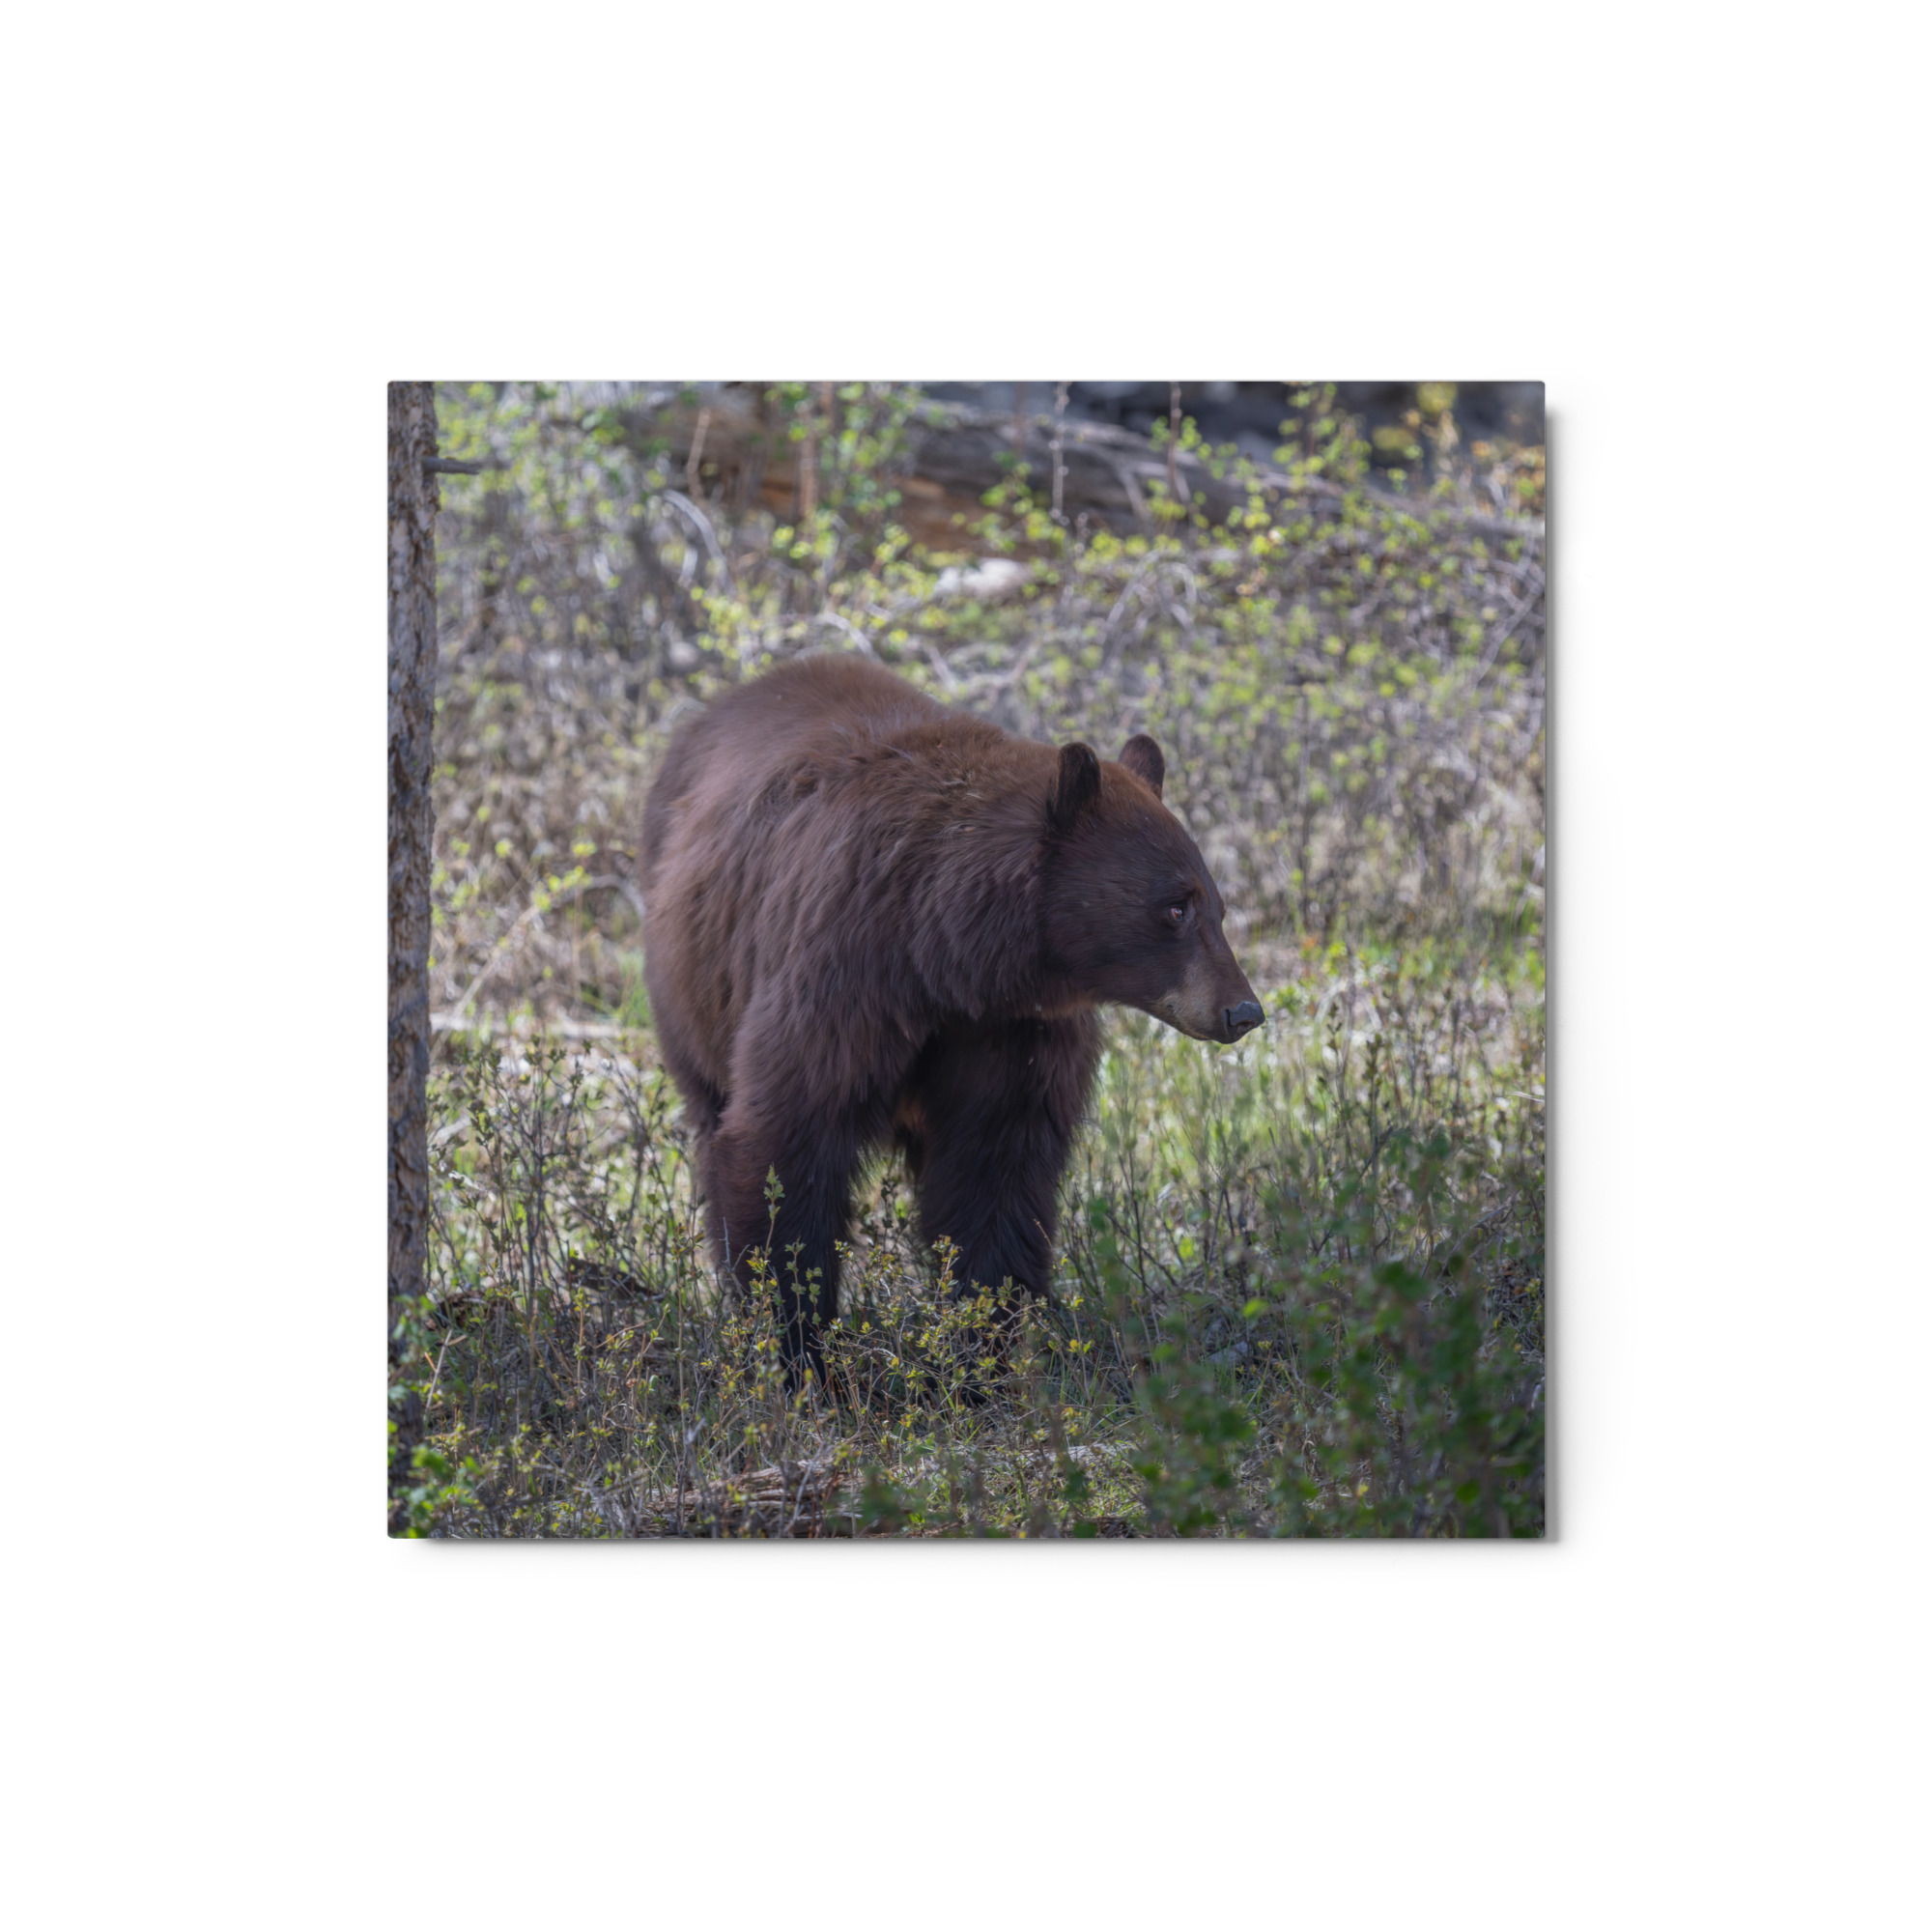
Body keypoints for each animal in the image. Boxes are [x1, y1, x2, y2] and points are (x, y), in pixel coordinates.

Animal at [640, 652, 1263, 1384]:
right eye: (1174, 907)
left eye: (1217, 906)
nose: (1243, 1010)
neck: (946, 956)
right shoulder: (841, 977)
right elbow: (786, 1143)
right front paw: (802, 1355)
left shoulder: (1012, 1032)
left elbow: (995, 1173)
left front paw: (977, 1356)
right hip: (693, 990)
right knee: (713, 1120)